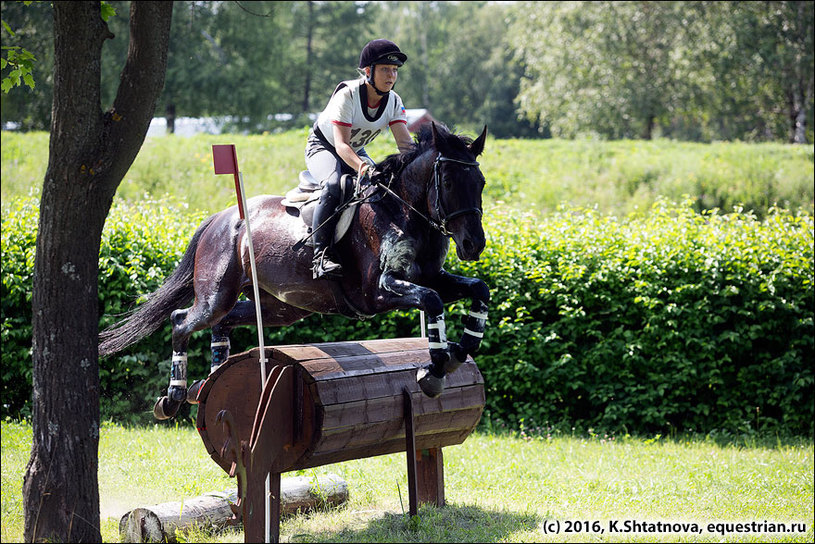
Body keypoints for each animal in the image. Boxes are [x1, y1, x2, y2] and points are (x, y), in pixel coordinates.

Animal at [97, 124, 490, 420]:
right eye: (449, 182)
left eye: (481, 183)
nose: (474, 245)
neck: (404, 209)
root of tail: (221, 217)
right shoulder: (379, 291)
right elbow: (433, 300)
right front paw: (434, 370)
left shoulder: (430, 276)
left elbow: (477, 289)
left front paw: (458, 351)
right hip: (216, 295)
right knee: (182, 320)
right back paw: (173, 397)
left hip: (279, 307)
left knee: (223, 324)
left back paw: (208, 383)